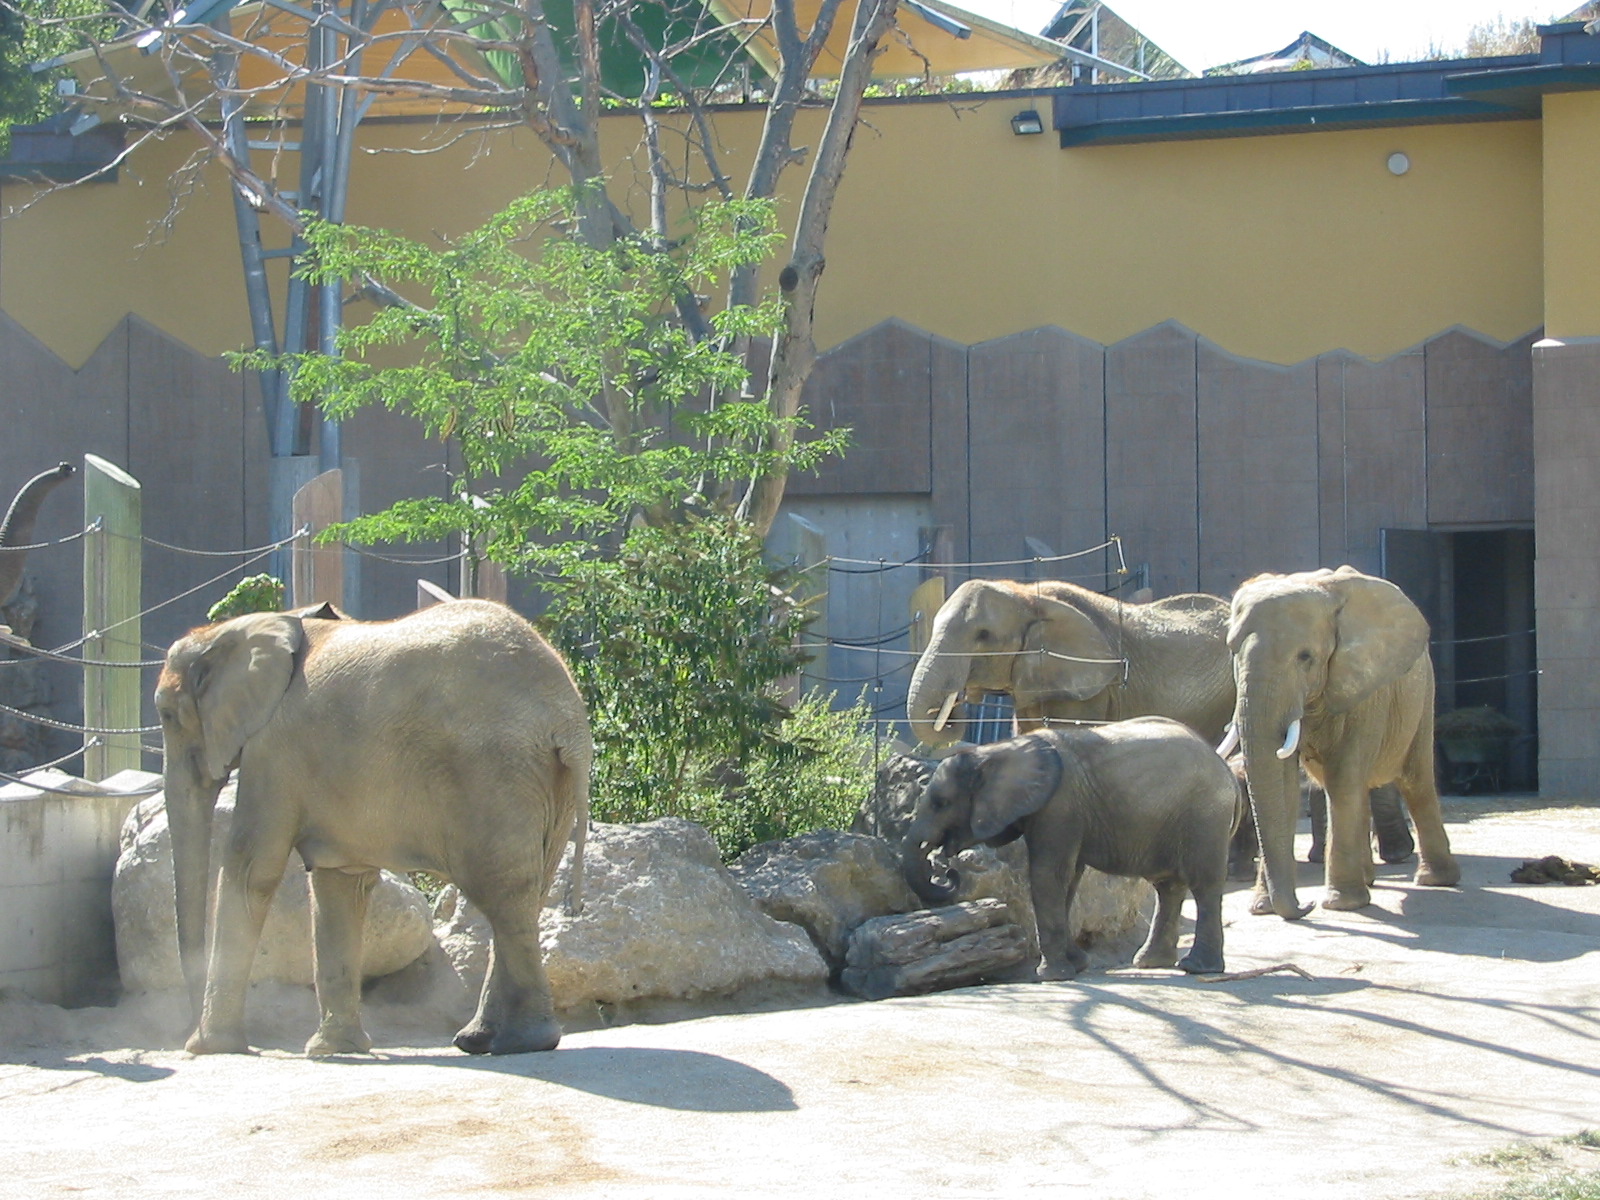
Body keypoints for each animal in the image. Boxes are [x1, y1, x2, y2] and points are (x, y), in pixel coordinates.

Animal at [156, 597, 592, 1058]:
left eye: (166, 714)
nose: (183, 1031)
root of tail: (566, 718)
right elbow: (338, 881)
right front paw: (334, 1051)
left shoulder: (274, 748)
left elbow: (251, 868)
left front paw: (209, 1048)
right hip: (546, 781)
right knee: (528, 893)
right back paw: (479, 1040)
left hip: (494, 773)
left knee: (504, 894)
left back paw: (523, 1042)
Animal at [901, 717, 1244, 979]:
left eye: (941, 803)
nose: (947, 871)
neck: (994, 751)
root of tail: (1227, 770)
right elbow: (1068, 878)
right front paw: (1077, 965)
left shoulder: (1058, 805)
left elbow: (1048, 874)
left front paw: (1051, 976)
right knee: (1168, 886)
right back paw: (1150, 963)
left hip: (1205, 816)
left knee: (1203, 884)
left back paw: (1198, 968)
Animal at [1222, 566, 1460, 919]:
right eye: (1233, 650)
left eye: (1306, 657)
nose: (1304, 905)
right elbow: (1285, 784)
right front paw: (1263, 907)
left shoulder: (1367, 687)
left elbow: (1344, 775)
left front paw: (1340, 905)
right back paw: (1369, 882)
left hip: (1422, 694)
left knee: (1414, 782)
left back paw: (1435, 881)